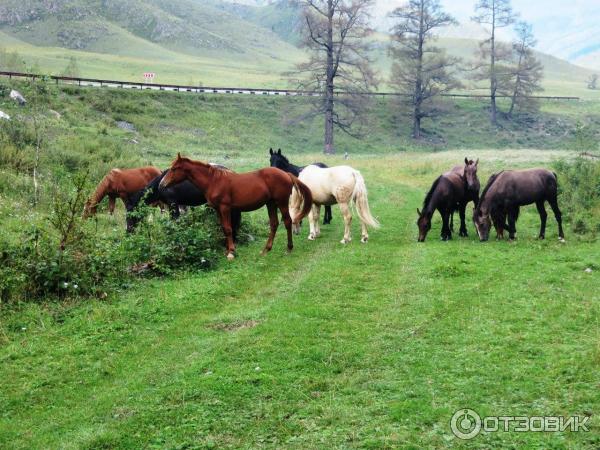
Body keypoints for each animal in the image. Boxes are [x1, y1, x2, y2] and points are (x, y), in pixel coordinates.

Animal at [157, 154, 312, 260]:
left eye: (175, 168)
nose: (162, 184)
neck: (214, 181)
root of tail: (286, 173)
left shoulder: (225, 208)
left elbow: (228, 228)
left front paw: (231, 252)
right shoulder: (218, 210)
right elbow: (223, 228)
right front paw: (227, 250)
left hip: (281, 202)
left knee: (287, 222)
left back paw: (289, 248)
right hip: (271, 203)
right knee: (274, 224)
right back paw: (266, 249)